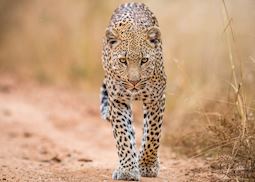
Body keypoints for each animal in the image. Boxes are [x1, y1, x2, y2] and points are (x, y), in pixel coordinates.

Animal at [98, 2, 166, 181]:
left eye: (144, 60)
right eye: (123, 60)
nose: (134, 82)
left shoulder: (156, 99)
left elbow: (152, 135)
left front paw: (147, 166)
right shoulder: (117, 101)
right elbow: (123, 135)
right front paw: (128, 170)